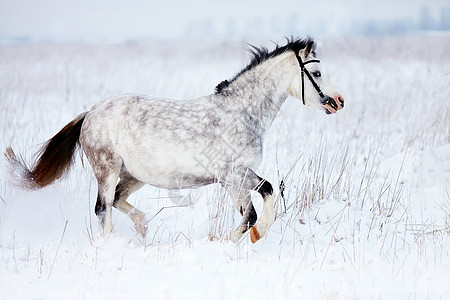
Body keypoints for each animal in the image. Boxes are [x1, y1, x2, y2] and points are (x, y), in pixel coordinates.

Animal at [3, 37, 344, 244]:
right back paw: (113, 243)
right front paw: (238, 240)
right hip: (107, 170)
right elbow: (255, 209)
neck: (241, 112)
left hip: (134, 176)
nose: (338, 101)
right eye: (316, 72)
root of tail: (91, 113)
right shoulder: (232, 176)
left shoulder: (235, 177)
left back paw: (142, 228)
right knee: (102, 208)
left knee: (117, 201)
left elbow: (260, 201)